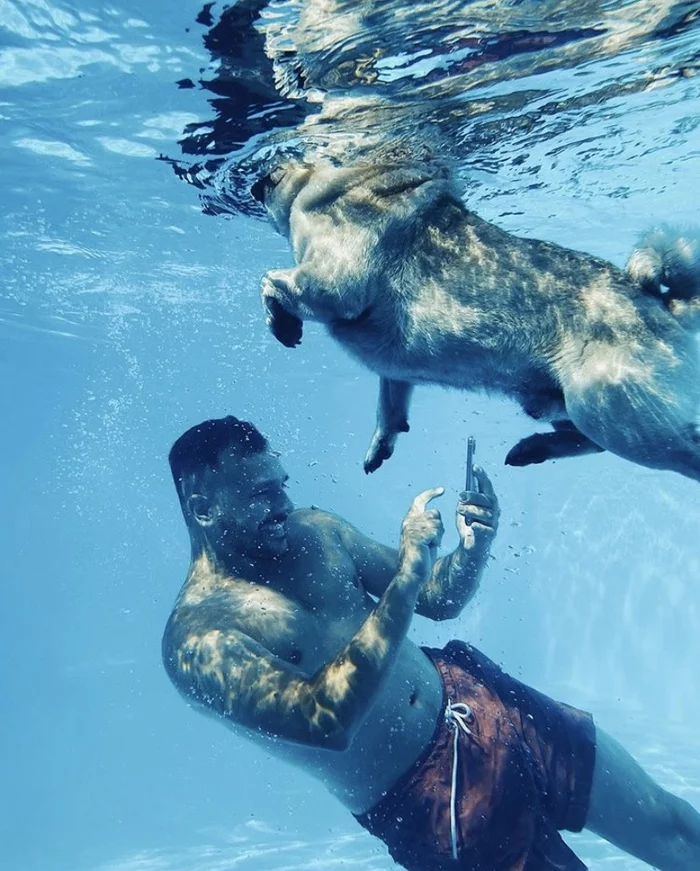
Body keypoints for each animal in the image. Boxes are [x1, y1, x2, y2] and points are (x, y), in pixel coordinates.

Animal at [252, 160, 700, 480]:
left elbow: (271, 278)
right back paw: (532, 450)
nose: (257, 184)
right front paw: (381, 443)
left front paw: (282, 323)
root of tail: (664, 305)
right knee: (583, 440)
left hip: (614, 413)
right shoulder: (394, 375)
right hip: (558, 406)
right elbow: (389, 408)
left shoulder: (330, 286)